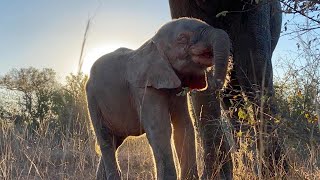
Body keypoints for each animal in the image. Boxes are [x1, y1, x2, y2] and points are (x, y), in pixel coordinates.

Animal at [85, 17, 230, 180]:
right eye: (182, 38)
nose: (217, 84)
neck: (152, 42)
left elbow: (184, 126)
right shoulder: (144, 88)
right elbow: (160, 129)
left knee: (115, 140)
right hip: (92, 100)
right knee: (106, 140)